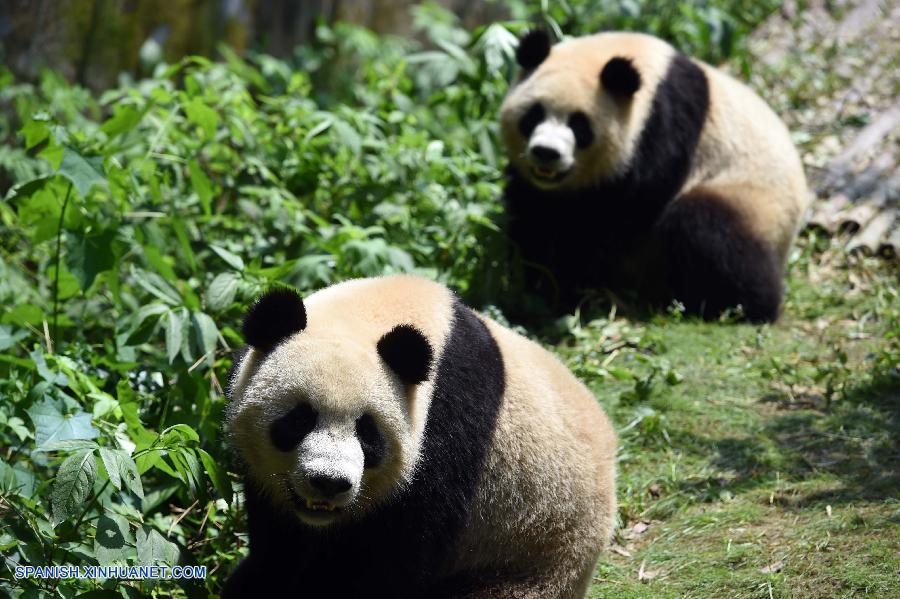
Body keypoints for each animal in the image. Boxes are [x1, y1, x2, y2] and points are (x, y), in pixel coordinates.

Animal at [223, 276, 620, 599]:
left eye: (367, 432)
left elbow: (394, 559)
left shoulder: (446, 428)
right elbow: (278, 543)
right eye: (299, 419)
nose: (329, 483)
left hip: (529, 557)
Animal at [500, 29, 808, 324]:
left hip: (750, 200)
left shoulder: (662, 127)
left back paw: (740, 307)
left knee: (709, 230)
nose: (546, 152)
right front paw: (537, 281)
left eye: (579, 126)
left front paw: (571, 283)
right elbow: (536, 213)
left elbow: (618, 214)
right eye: (533, 115)